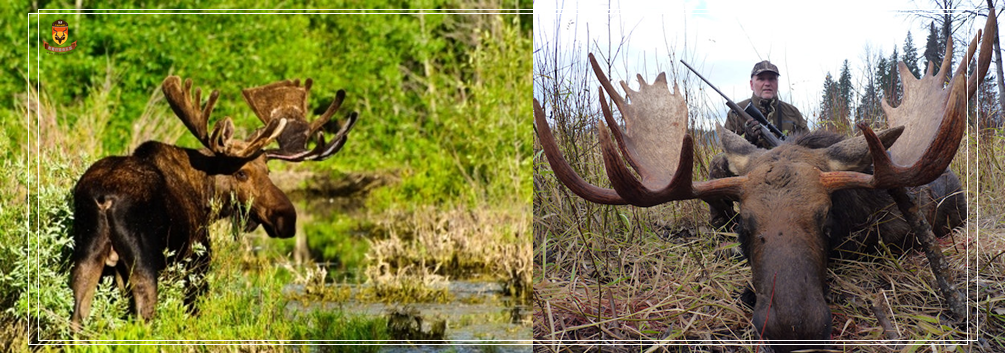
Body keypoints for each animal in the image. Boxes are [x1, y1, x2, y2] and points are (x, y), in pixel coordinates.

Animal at [67, 75, 357, 331]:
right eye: (241, 173)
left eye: (268, 171)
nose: (287, 217)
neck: (205, 194)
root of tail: (104, 200)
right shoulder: (197, 262)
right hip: (143, 262)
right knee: (143, 318)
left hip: (87, 256)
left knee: (78, 318)